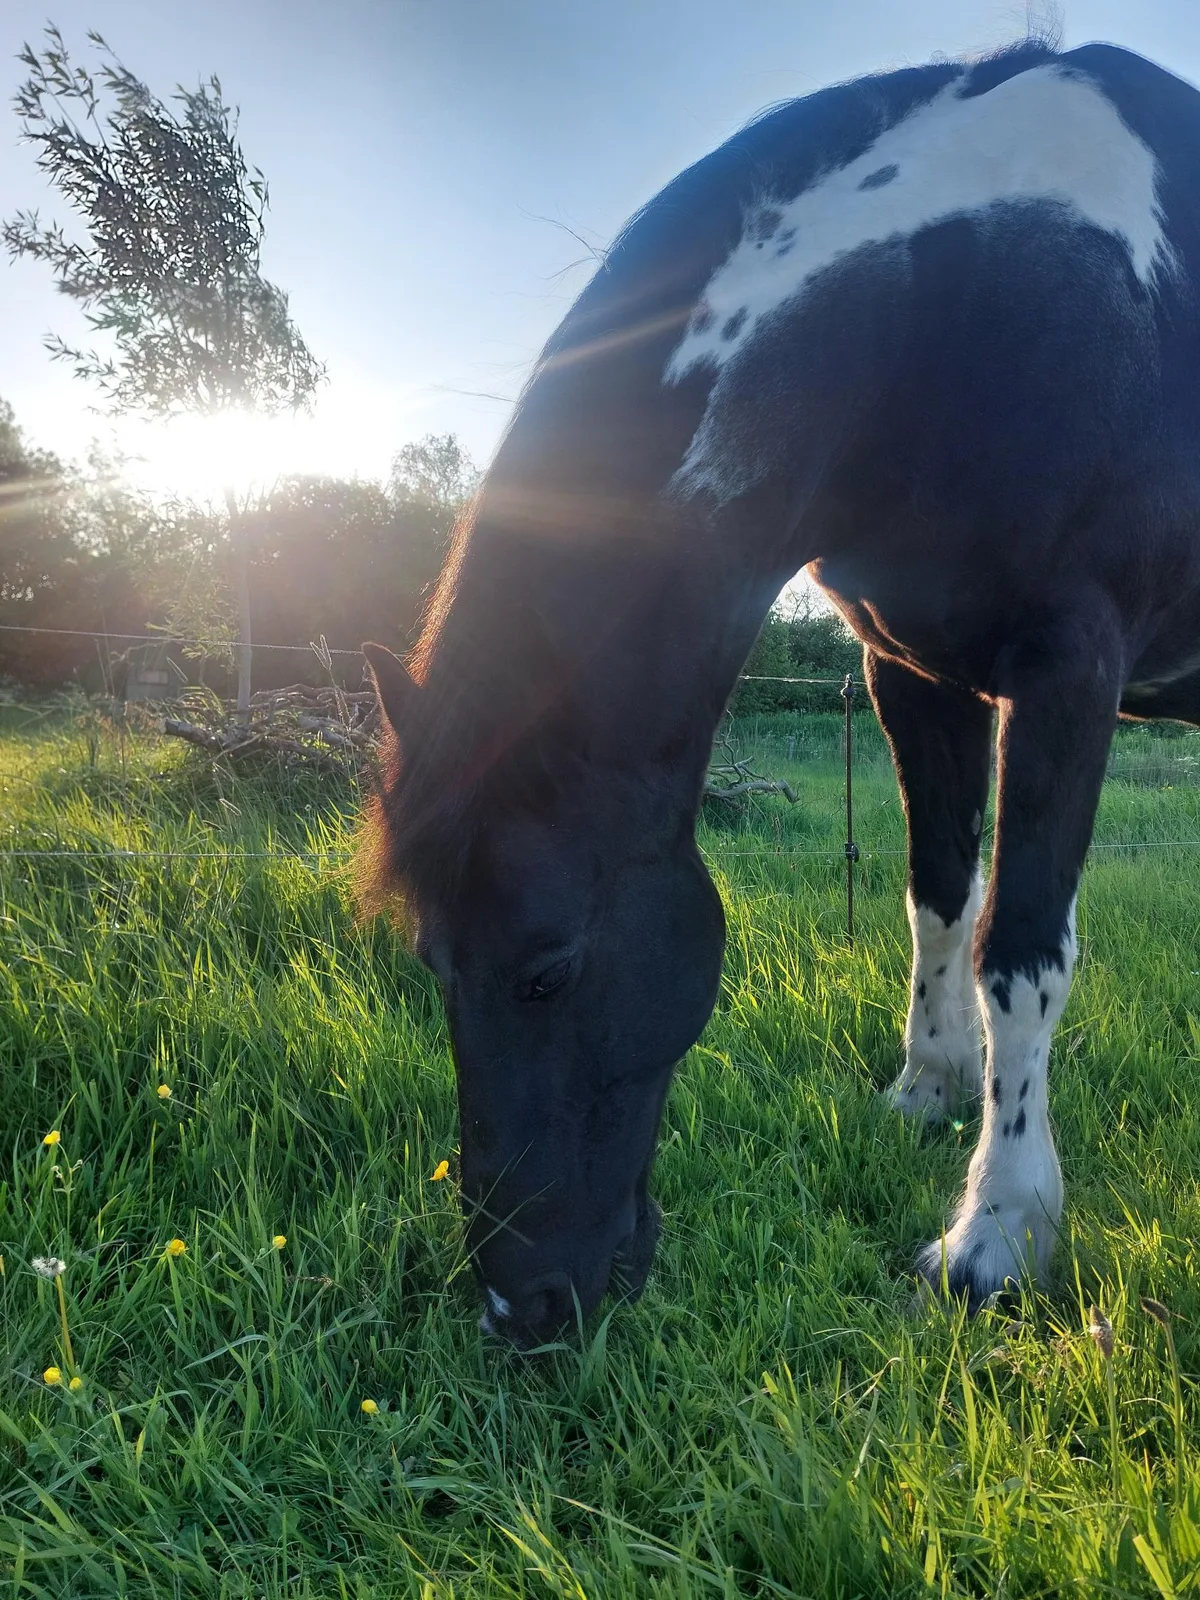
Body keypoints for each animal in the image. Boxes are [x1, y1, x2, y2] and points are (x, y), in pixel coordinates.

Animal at [359, 38, 1200, 1347]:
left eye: (546, 969)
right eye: (430, 963)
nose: (517, 1308)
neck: (968, 305)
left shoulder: (1072, 668)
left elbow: (1020, 947)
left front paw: (997, 1232)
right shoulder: (915, 673)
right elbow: (937, 899)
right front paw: (926, 1090)